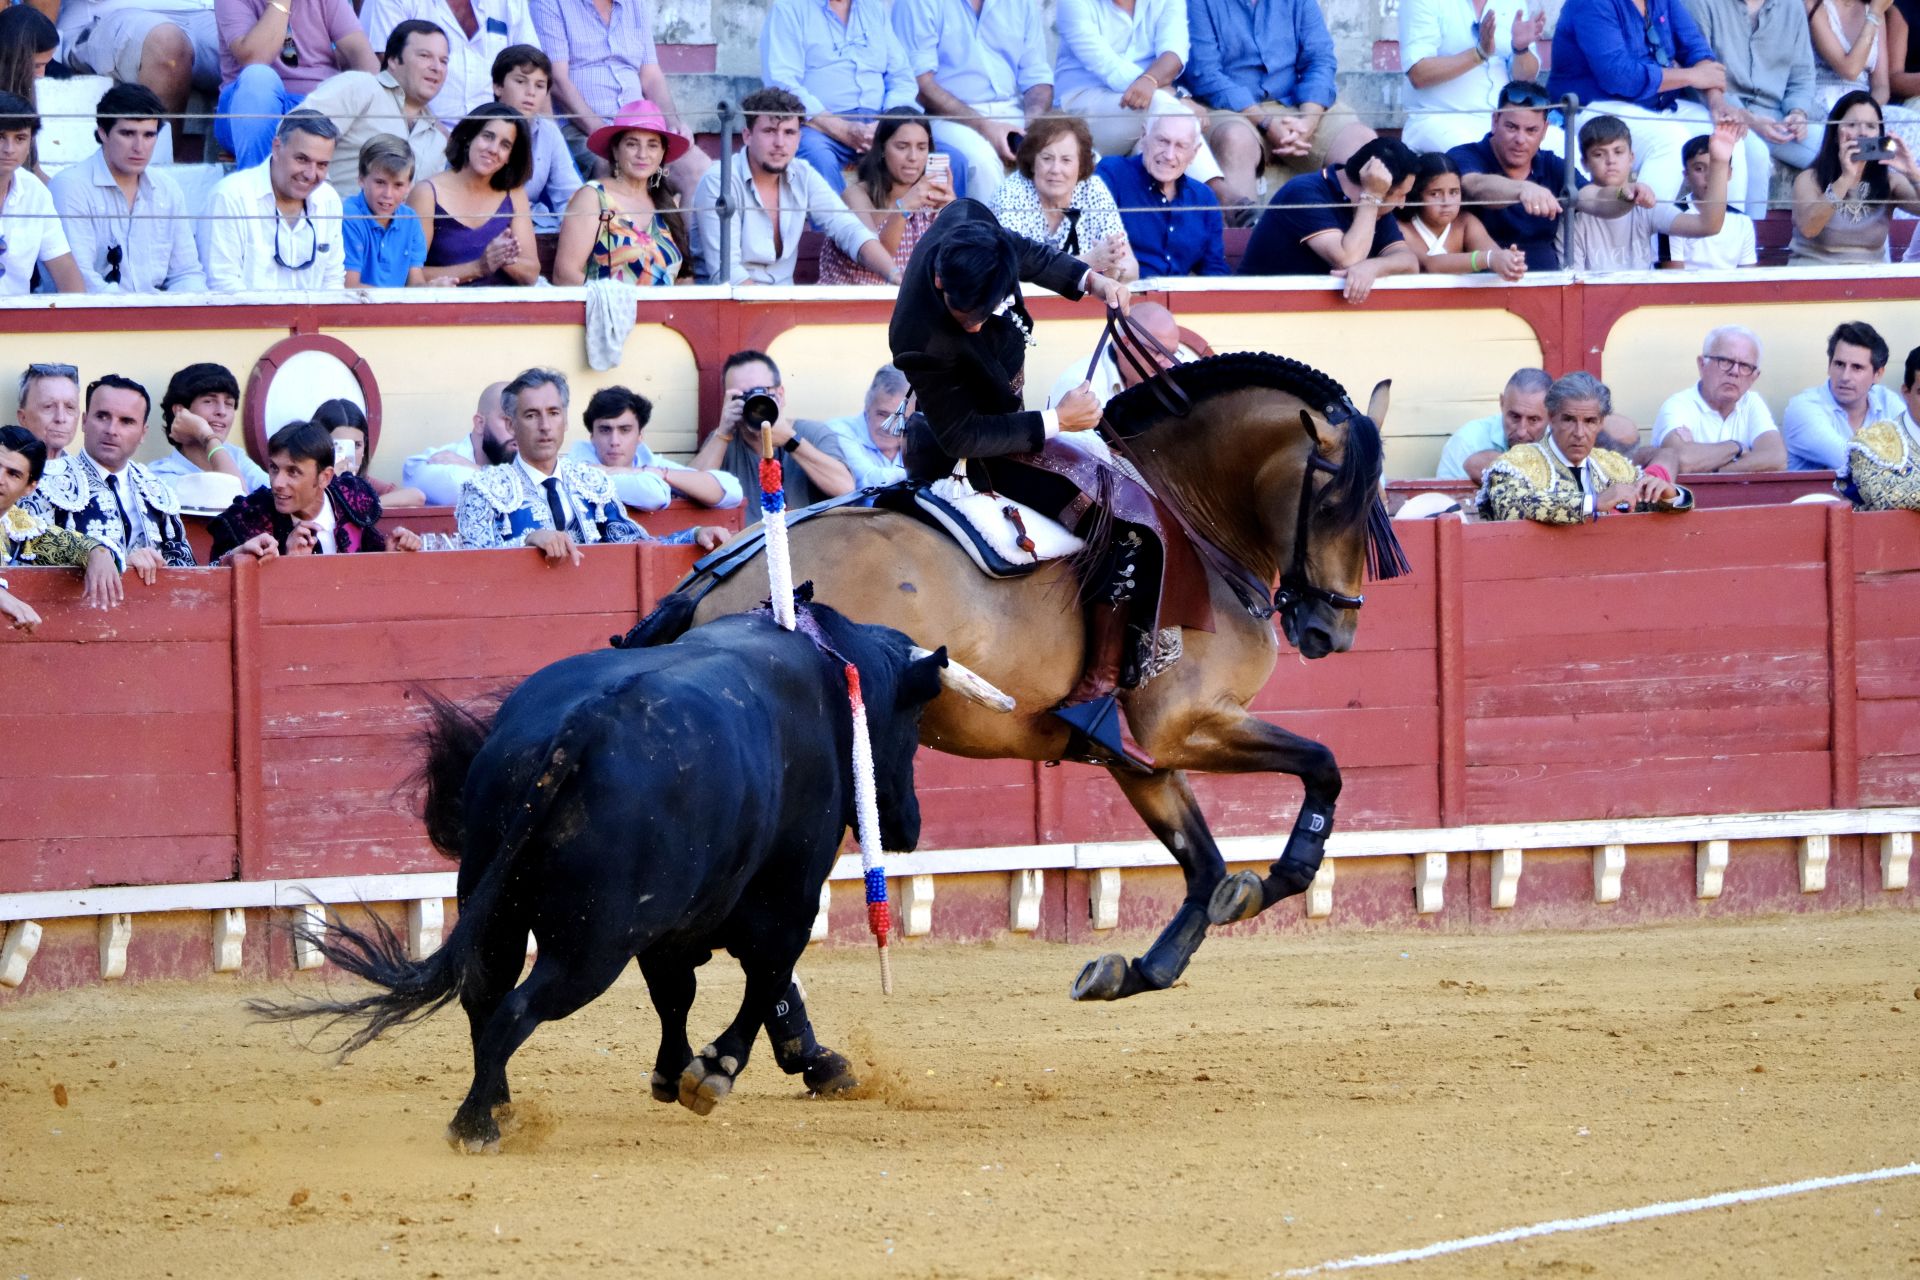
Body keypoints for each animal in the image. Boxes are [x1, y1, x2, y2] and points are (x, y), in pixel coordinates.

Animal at [247, 602, 952, 1151]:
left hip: (500, 909)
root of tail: (580, 726)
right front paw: (712, 1072)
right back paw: (476, 1126)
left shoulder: (666, 919)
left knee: (485, 997)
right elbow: (765, 976)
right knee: (517, 1009)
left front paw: (673, 1073)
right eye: (914, 726)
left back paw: (498, 1103)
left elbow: (676, 993)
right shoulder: (787, 898)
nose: (911, 826)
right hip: (592, 946)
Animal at [683, 355, 1405, 1005]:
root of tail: (716, 587)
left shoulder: (1140, 756)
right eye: (1335, 502)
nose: (1332, 633)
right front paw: (1271, 881)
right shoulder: (1186, 725)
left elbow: (1204, 863)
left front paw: (1138, 970)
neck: (1192, 524)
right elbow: (1323, 764)